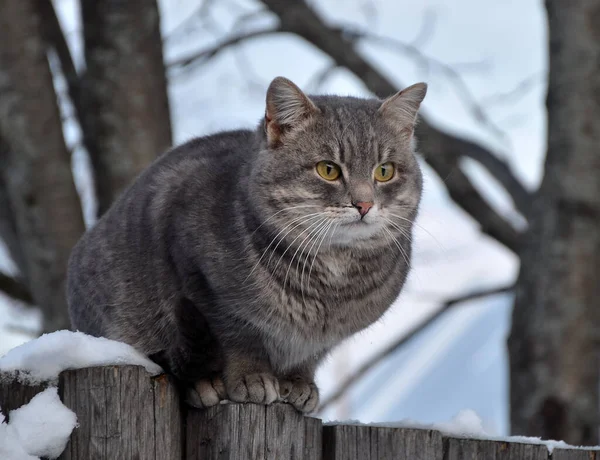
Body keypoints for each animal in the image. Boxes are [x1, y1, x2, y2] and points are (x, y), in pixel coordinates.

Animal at [67, 75, 426, 414]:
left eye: (384, 171)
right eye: (328, 169)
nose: (364, 204)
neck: (331, 281)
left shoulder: (325, 338)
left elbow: (308, 356)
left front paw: (299, 383)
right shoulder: (205, 290)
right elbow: (238, 340)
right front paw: (251, 377)